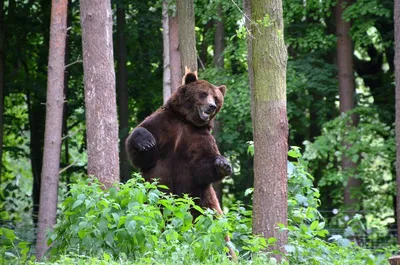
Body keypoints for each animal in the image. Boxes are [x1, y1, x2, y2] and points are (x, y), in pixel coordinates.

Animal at [125, 71, 231, 214]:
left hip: (201, 199)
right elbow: (143, 156)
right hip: (148, 193)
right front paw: (146, 142)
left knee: (210, 212)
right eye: (203, 93)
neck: (185, 120)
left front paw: (223, 164)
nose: (212, 106)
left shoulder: (199, 135)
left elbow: (201, 164)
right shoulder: (163, 123)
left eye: (216, 98)